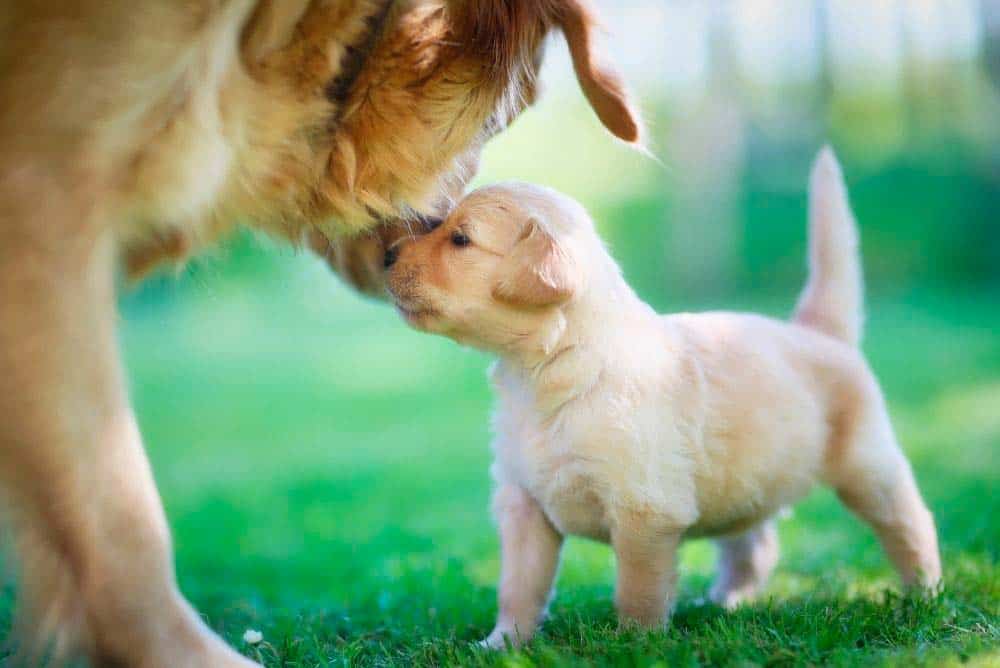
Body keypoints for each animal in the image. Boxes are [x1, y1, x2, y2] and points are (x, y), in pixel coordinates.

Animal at [386, 149, 940, 648]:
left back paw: (924, 594)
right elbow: (518, 587)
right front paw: (503, 643)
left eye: (461, 238)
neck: (548, 371)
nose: (387, 255)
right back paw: (723, 601)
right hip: (745, 480)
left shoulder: (645, 511)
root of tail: (819, 332)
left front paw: (636, 643)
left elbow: (638, 589)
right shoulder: (523, 504)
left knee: (910, 523)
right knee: (754, 543)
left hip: (868, 465)